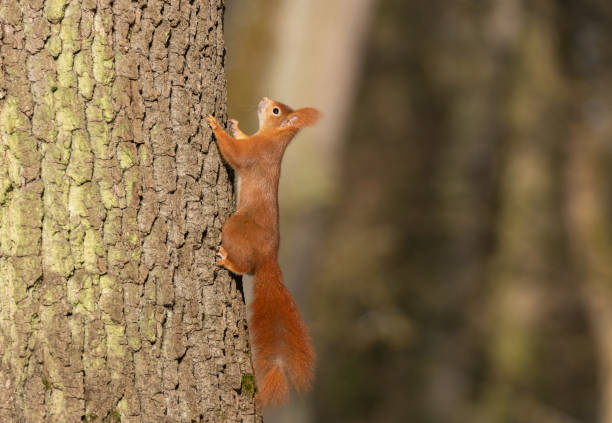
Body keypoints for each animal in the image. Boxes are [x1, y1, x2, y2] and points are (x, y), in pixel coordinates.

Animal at [206, 97, 320, 406]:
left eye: (276, 111)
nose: (264, 100)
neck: (272, 138)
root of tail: (269, 259)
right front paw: (235, 126)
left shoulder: (253, 153)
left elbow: (234, 153)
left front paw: (216, 125)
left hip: (234, 228)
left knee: (245, 267)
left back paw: (228, 262)